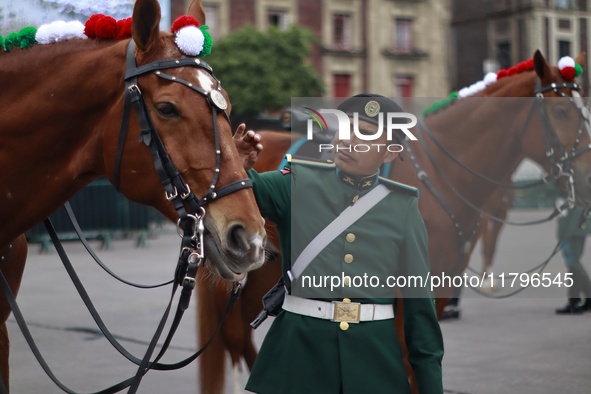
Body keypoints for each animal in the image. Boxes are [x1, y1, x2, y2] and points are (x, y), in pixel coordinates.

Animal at [197, 49, 591, 394]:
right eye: (560, 110)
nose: (586, 175)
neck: (439, 175)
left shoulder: (438, 286)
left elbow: (420, 357)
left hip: (265, 267)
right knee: (233, 337)